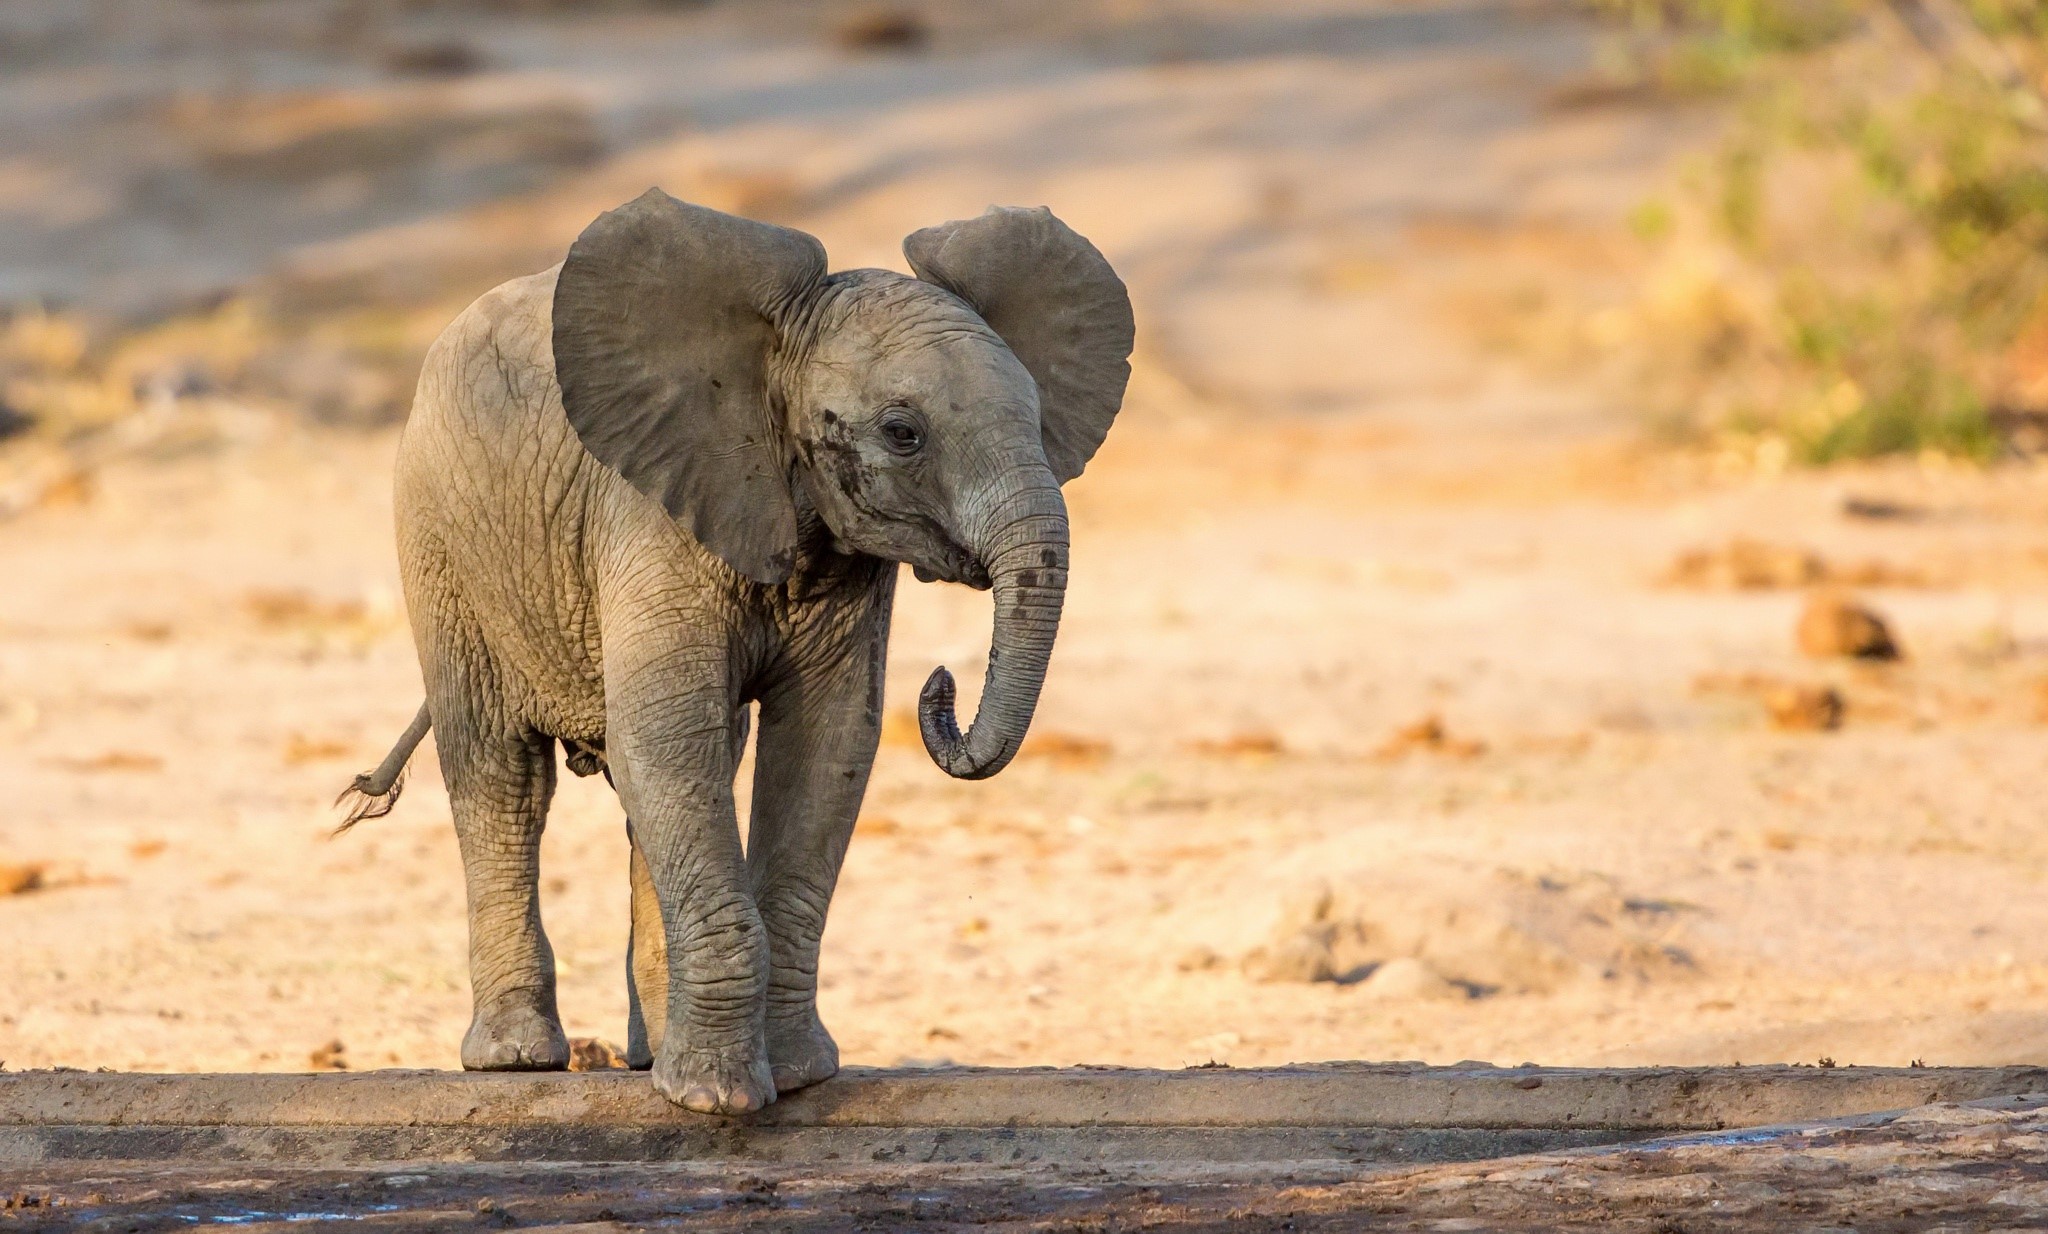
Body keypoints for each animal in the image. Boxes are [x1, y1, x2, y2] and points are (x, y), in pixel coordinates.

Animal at [337, 188, 1134, 1115]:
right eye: (903, 433)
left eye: (1039, 421)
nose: (939, 687)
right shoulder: (652, 515)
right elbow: (669, 740)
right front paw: (716, 1101)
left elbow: (824, 748)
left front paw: (792, 1077)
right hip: (440, 537)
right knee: (501, 772)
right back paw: (516, 1059)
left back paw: (646, 1058)